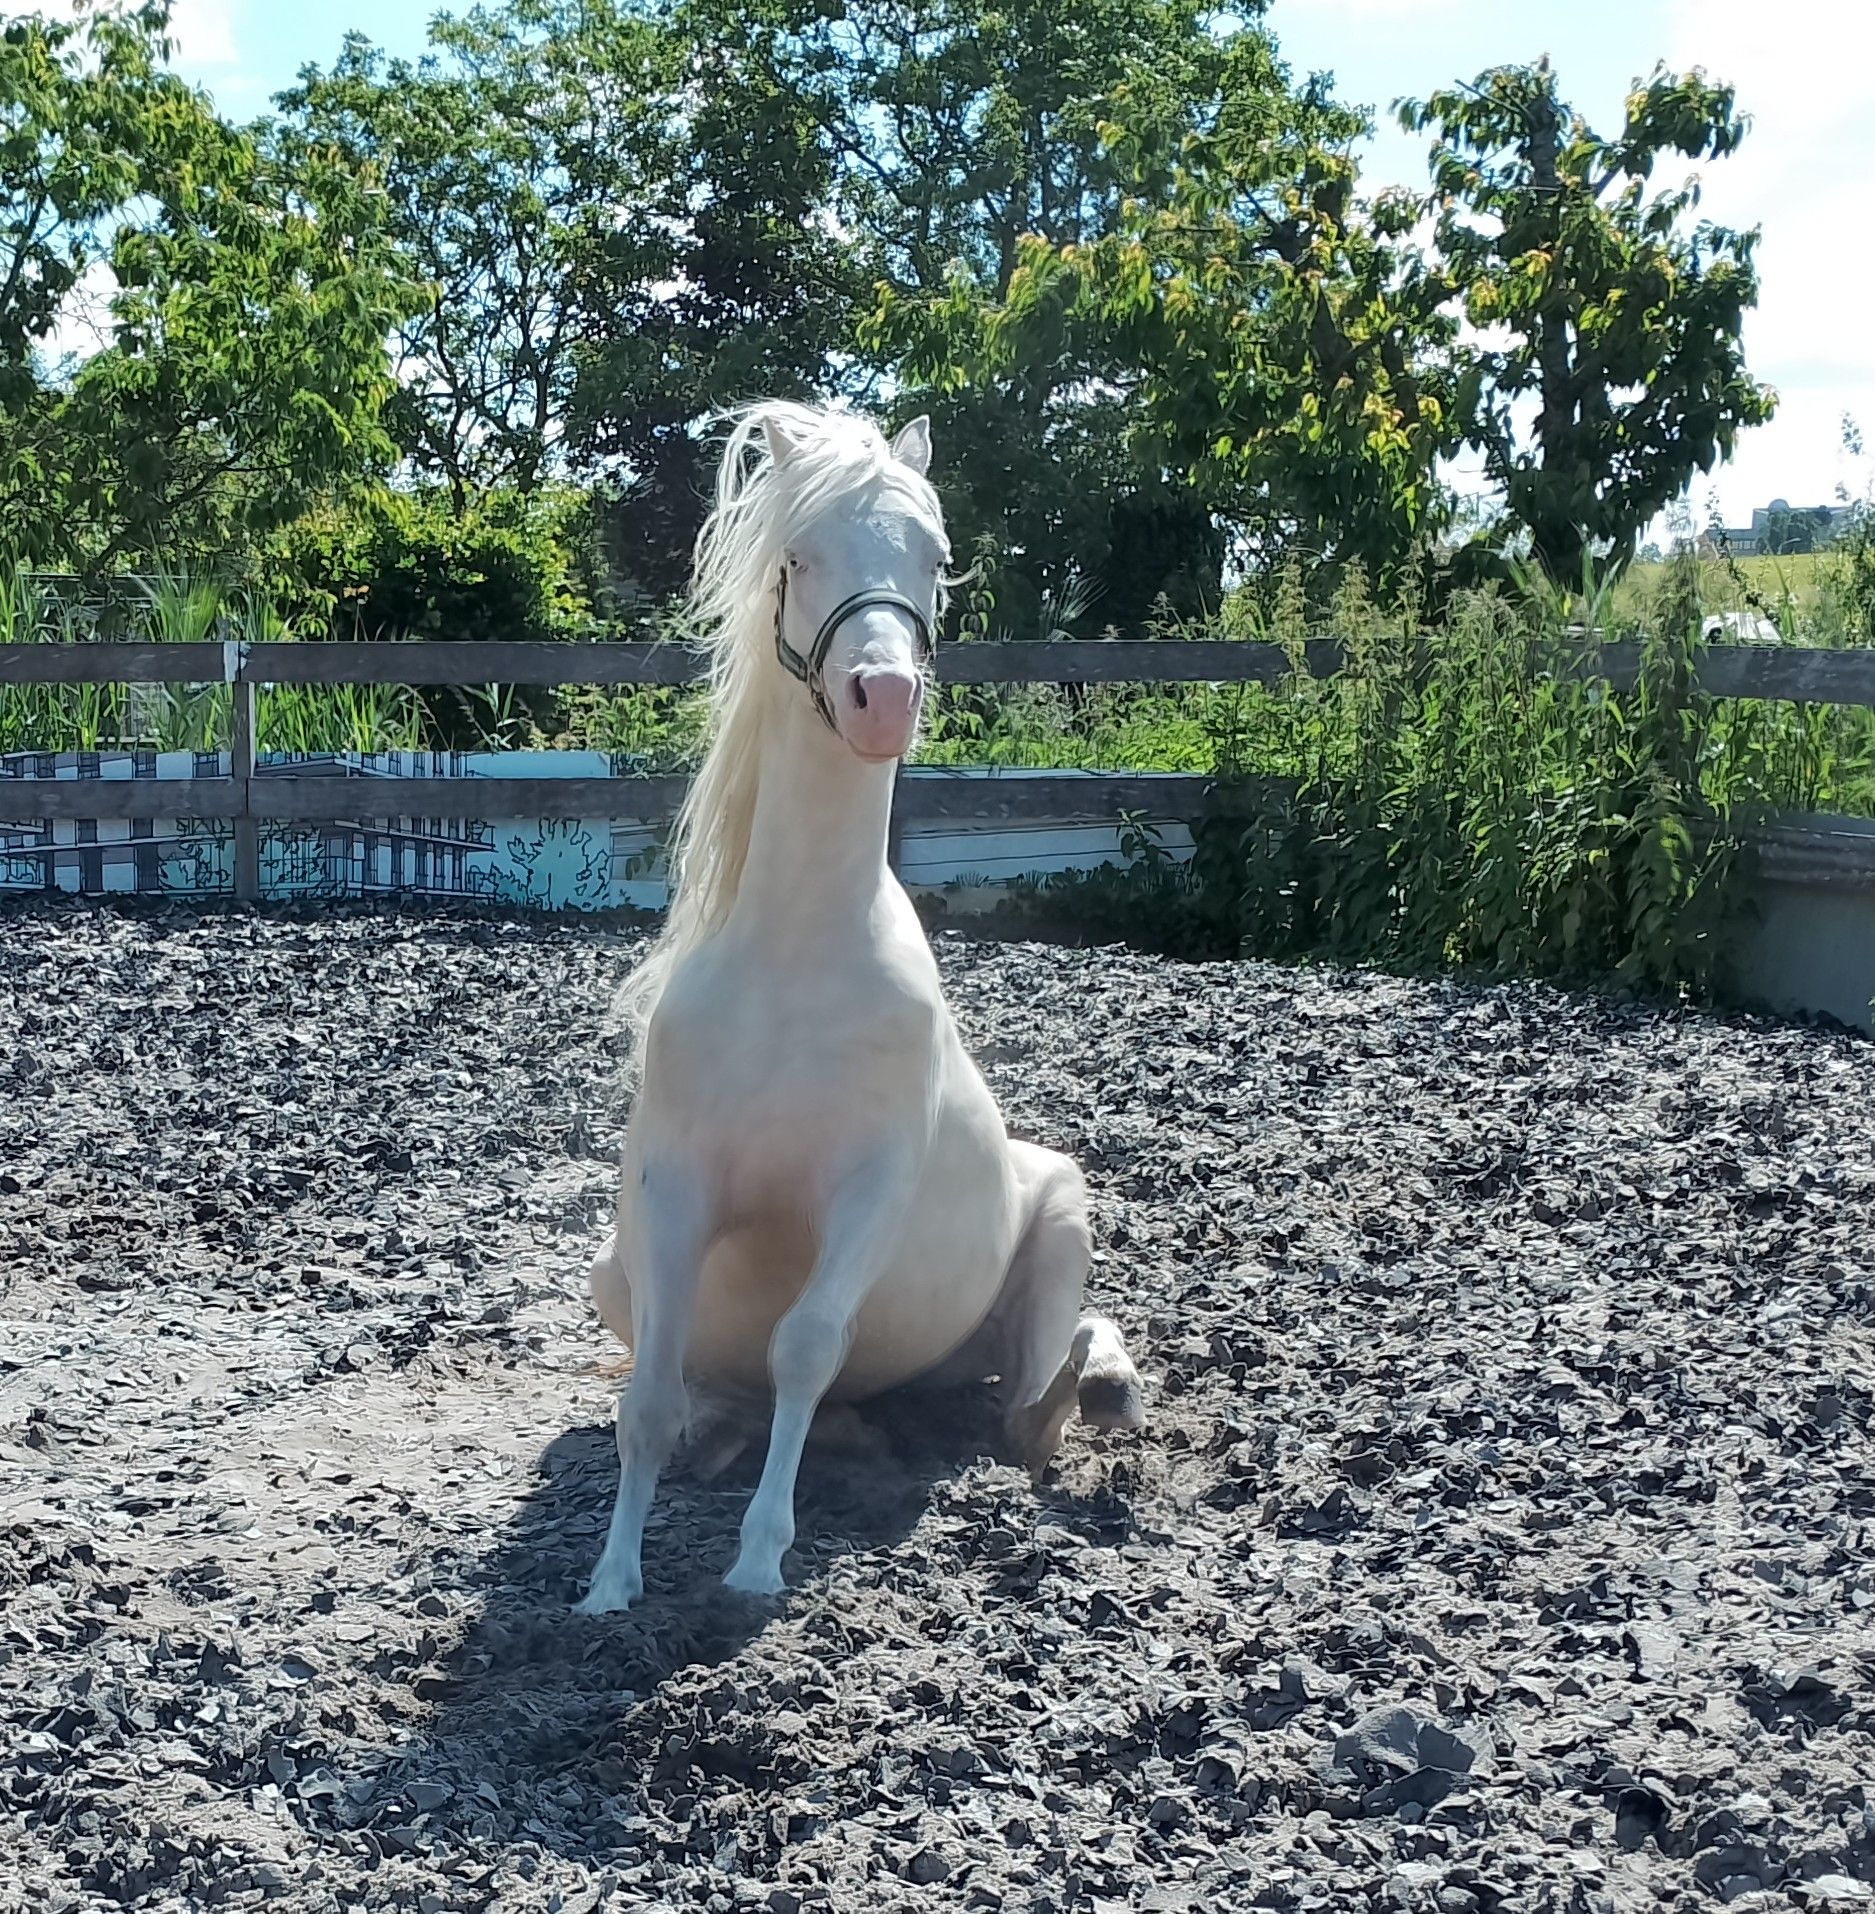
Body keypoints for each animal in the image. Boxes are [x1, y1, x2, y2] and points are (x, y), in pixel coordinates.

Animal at [576, 401, 1144, 1613]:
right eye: (797, 557)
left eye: (933, 558)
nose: (882, 698)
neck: (796, 963)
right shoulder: (673, 1190)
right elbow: (646, 1400)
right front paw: (608, 1583)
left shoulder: (866, 1192)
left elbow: (806, 1343)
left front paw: (757, 1559)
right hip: (615, 1274)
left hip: (1060, 1222)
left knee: (1031, 1399)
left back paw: (1098, 1383)